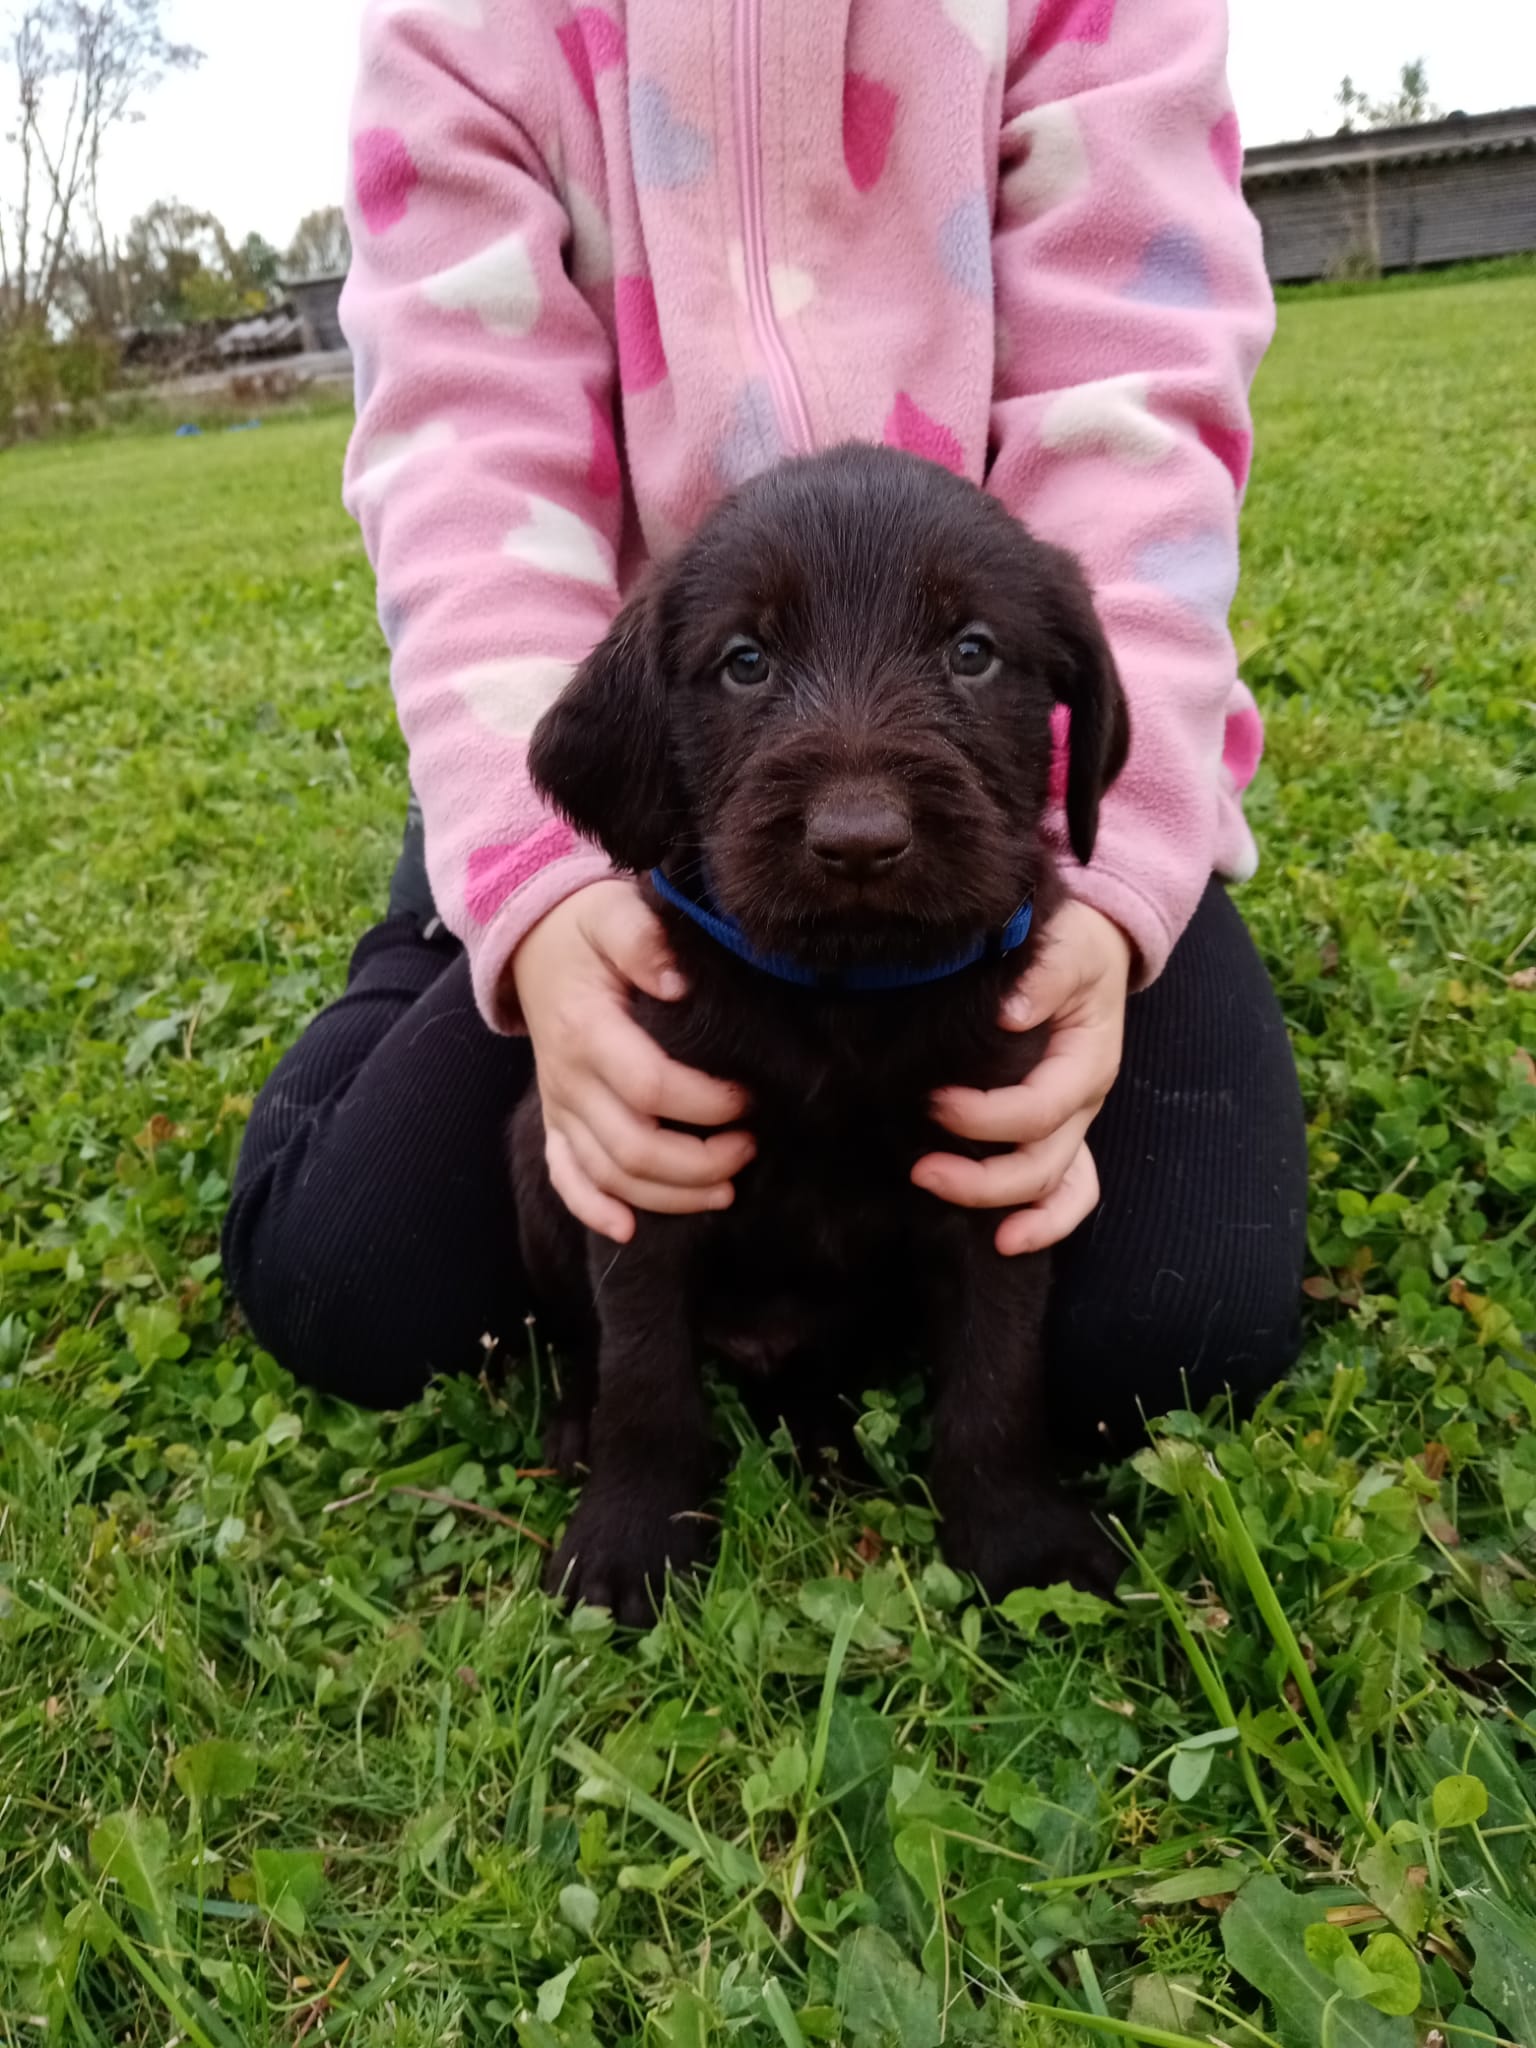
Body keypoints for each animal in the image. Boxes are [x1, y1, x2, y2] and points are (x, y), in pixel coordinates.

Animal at [518, 444, 1130, 1613]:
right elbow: (643, 1375)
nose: (859, 840)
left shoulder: (997, 1160)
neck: (847, 995)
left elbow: (997, 1376)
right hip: (538, 1148)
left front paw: (1021, 1540)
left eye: (972, 651)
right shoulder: (647, 1161)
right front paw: (629, 1539)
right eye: (746, 661)